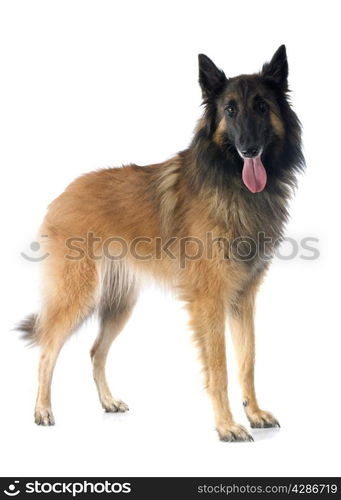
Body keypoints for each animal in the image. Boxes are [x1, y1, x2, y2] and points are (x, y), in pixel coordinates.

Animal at [17, 45, 302, 440]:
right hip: (78, 296)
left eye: (261, 106)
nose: (248, 150)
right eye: (230, 110)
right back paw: (43, 410)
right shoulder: (209, 301)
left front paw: (254, 413)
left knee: (95, 351)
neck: (231, 182)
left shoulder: (243, 298)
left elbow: (248, 361)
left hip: (119, 305)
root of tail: (64, 194)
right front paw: (226, 425)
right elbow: (219, 368)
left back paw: (108, 401)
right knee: (47, 350)